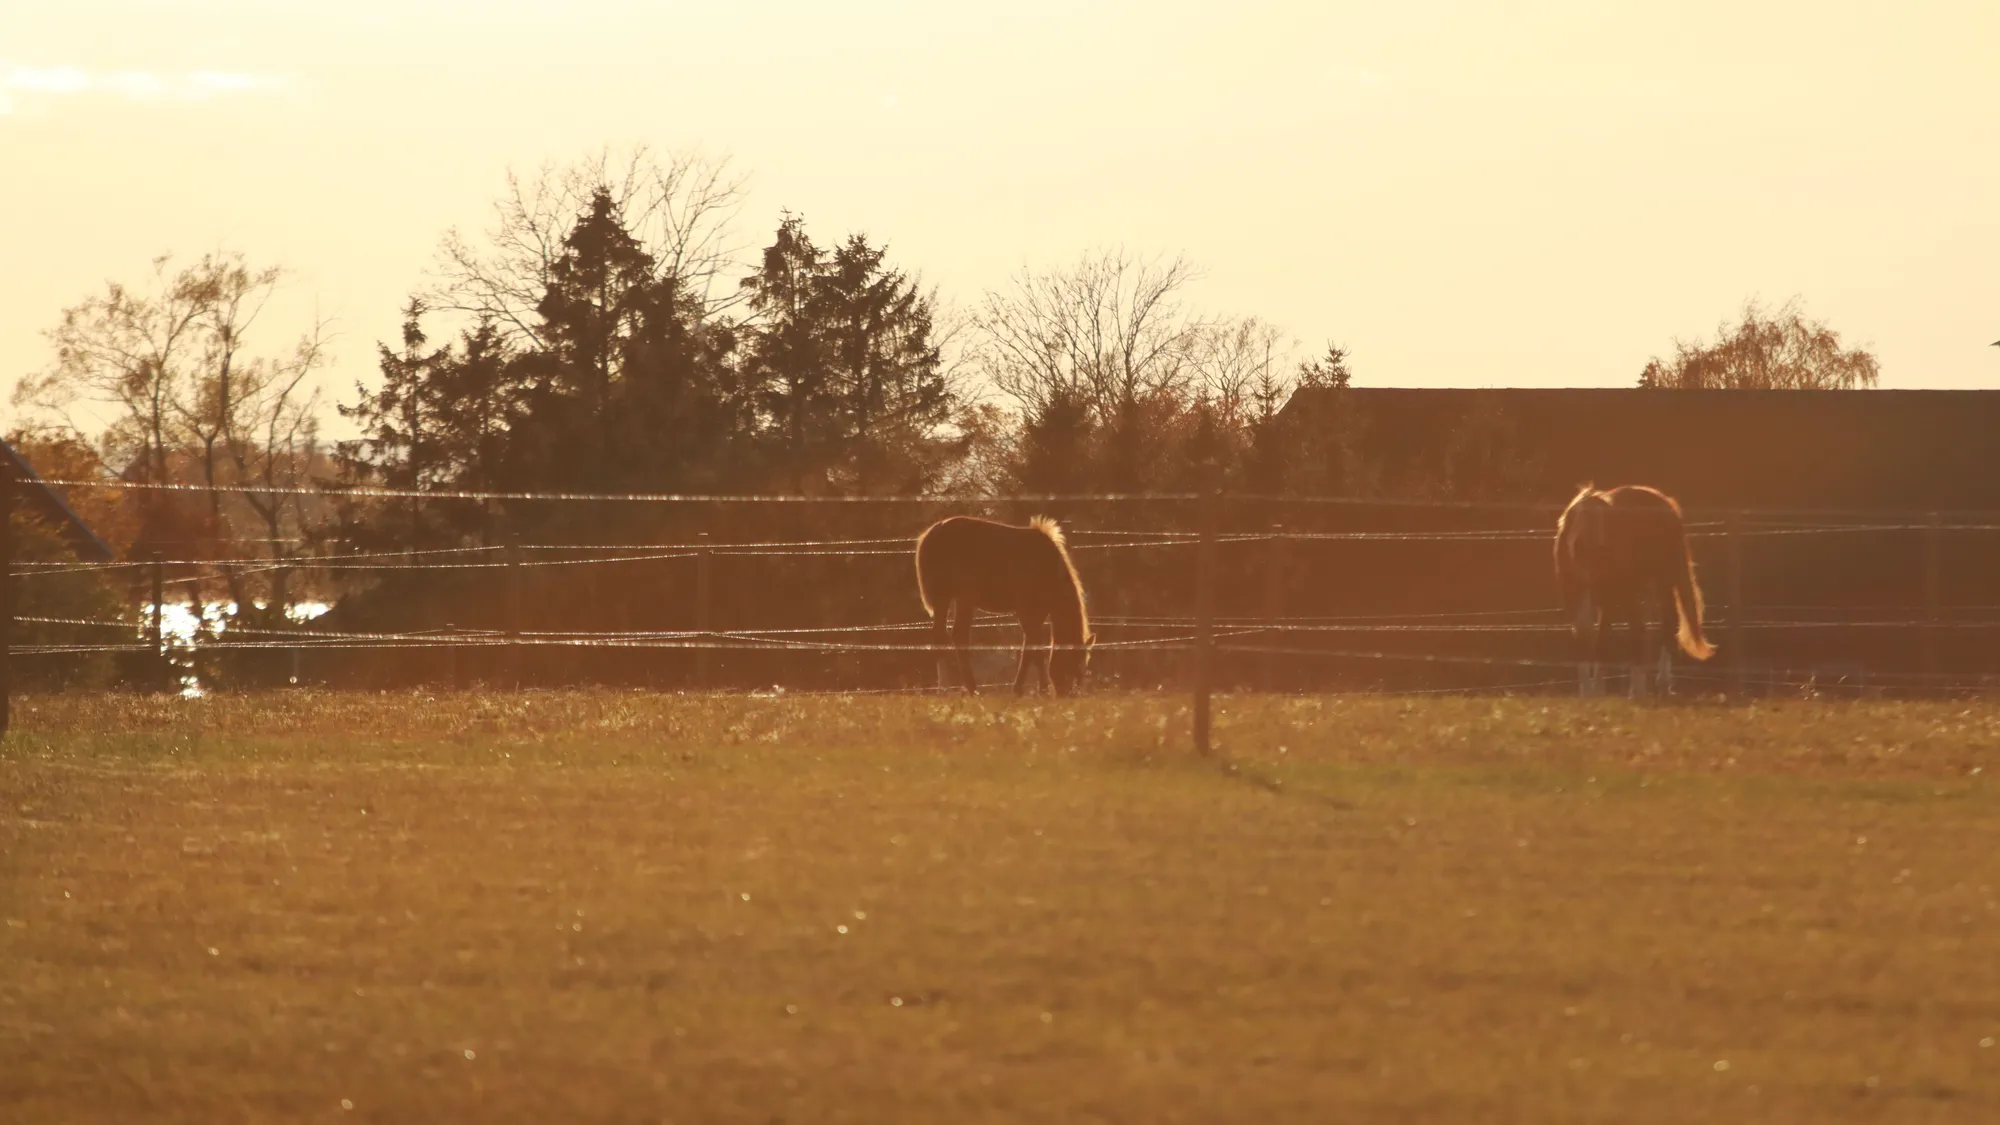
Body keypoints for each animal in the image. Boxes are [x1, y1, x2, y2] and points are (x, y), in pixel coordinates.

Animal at [915, 515, 1095, 695]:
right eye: (1071, 663)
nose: (1066, 693)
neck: (1047, 568)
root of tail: (930, 534)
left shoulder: (1036, 617)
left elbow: (1029, 649)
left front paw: (1020, 688)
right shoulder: (1026, 613)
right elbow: (1035, 651)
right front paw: (1042, 689)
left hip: (954, 600)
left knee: (950, 636)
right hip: (953, 599)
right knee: (949, 637)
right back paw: (957, 687)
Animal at [1555, 484, 1715, 697]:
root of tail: (1665, 504)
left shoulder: (1612, 595)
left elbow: (1607, 637)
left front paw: (1602, 690)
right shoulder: (1580, 595)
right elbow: (1590, 636)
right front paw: (1591, 692)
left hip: (1658, 584)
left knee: (1664, 623)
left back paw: (1656, 685)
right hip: (1641, 589)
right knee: (1643, 628)